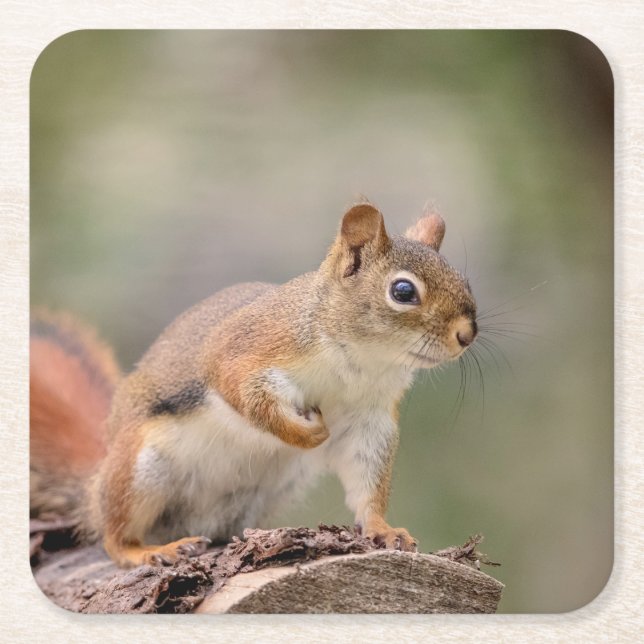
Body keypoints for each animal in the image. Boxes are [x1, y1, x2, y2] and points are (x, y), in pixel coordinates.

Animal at [30, 202, 477, 568]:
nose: (467, 334)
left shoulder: (370, 419)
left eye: (464, 282)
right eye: (403, 291)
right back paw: (148, 550)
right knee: (113, 536)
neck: (362, 361)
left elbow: (366, 478)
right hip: (139, 469)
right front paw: (306, 434)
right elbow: (245, 396)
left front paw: (382, 529)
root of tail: (95, 484)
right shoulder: (247, 349)